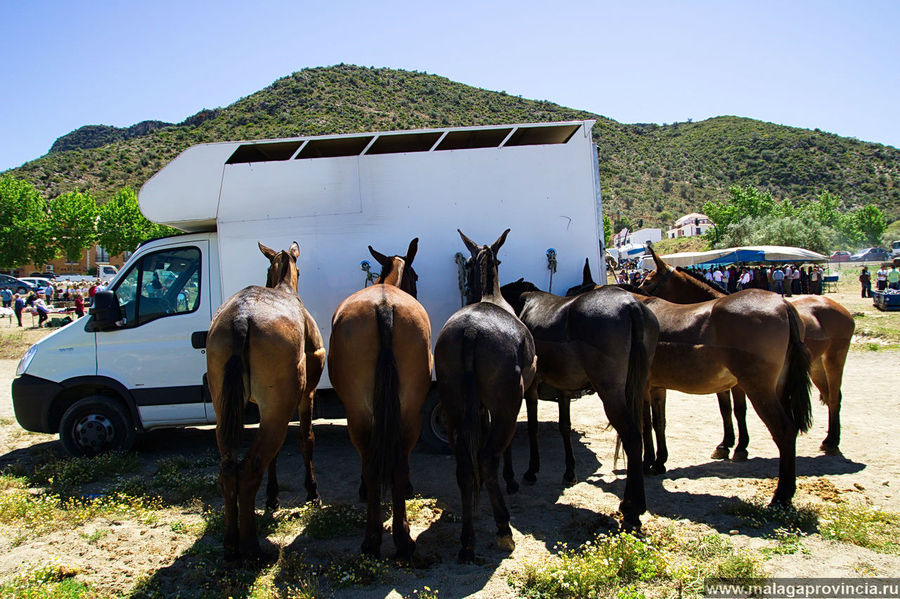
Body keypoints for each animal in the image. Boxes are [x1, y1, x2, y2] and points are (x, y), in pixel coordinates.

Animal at [207, 241, 326, 560]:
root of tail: (242, 317)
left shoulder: (264, 407)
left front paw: (272, 497)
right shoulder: (306, 395)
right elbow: (307, 439)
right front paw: (312, 492)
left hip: (227, 411)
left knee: (230, 470)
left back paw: (231, 541)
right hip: (279, 409)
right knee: (249, 471)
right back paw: (250, 547)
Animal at [326, 238, 432, 556]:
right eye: (416, 277)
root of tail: (384, 306)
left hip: (358, 414)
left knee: (373, 462)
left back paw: (375, 537)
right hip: (408, 411)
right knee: (396, 461)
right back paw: (400, 536)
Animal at [434, 230, 536, 564]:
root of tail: (471, 331)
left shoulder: (477, 409)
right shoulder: (518, 398)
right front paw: (513, 478)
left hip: (453, 409)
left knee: (465, 465)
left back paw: (467, 541)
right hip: (506, 407)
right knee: (488, 457)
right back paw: (503, 528)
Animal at [496, 278, 656, 528]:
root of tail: (631, 305)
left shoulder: (532, 387)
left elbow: (532, 426)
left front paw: (532, 471)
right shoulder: (563, 387)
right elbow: (564, 426)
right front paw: (569, 471)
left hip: (611, 393)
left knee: (631, 437)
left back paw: (632, 508)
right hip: (636, 388)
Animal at [640, 246, 856, 458]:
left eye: (647, 281)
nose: (636, 291)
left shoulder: (737, 383)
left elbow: (739, 410)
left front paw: (740, 445)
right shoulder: (723, 382)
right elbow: (726, 409)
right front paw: (726, 443)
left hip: (833, 360)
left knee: (834, 397)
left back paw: (832, 441)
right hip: (815, 366)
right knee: (827, 396)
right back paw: (829, 439)